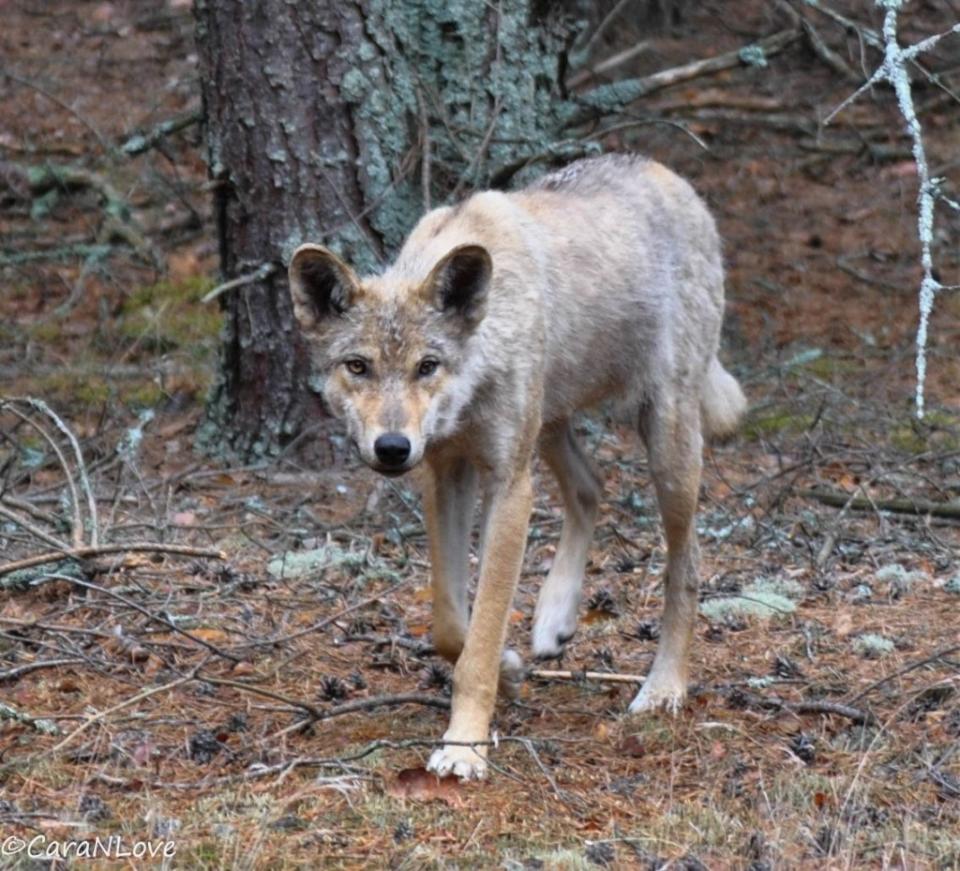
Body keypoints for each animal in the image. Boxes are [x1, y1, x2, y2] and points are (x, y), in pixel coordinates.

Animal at [288, 153, 748, 780]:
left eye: (427, 366)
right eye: (357, 366)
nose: (392, 447)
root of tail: (667, 174)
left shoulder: (508, 486)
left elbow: (477, 641)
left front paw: (463, 747)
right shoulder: (447, 475)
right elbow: (450, 625)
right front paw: (509, 669)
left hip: (665, 441)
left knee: (687, 564)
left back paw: (663, 688)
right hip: (550, 427)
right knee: (592, 488)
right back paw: (554, 619)